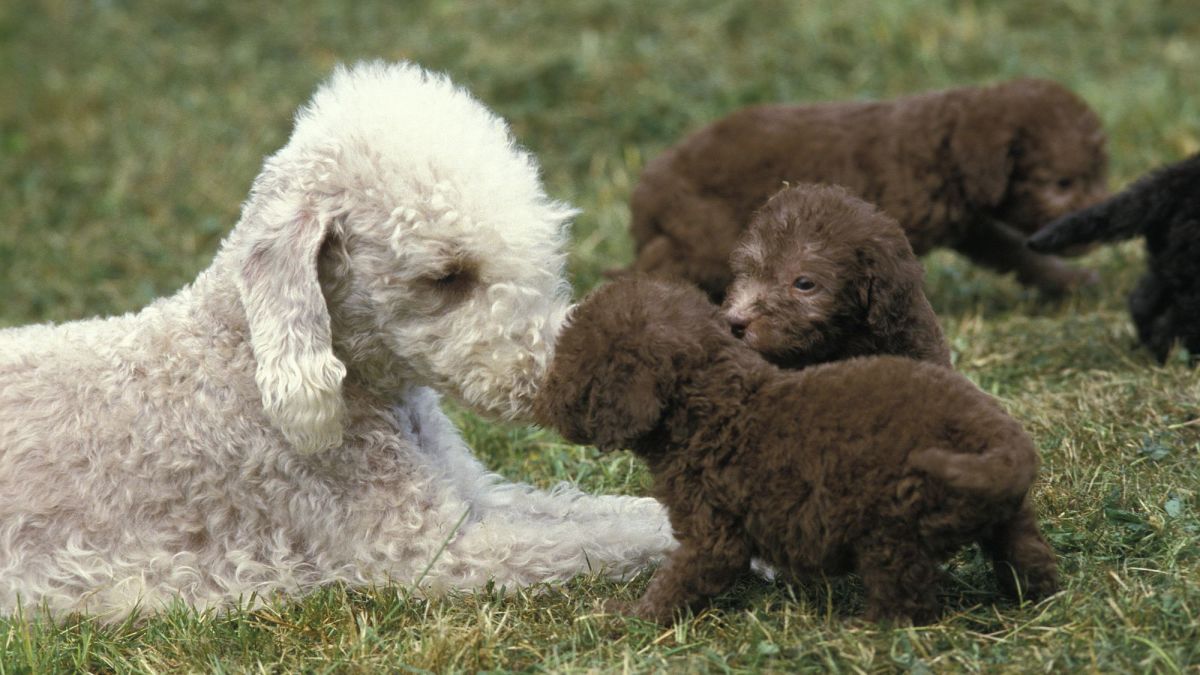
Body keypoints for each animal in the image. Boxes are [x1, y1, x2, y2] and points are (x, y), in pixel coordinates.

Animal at [0, 60, 676, 619]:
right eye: (448, 275)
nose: (574, 376)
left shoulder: (476, 494)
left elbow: (606, 513)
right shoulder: (429, 550)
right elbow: (595, 539)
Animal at [537, 276, 1060, 624]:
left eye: (572, 368)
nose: (543, 396)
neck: (714, 402)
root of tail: (996, 434)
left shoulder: (712, 530)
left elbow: (678, 579)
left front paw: (627, 615)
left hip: (891, 528)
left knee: (907, 599)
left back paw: (864, 628)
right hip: (1008, 515)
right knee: (1027, 554)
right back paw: (1037, 597)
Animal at [628, 77, 1104, 297]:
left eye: (1099, 175)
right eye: (1062, 183)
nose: (1096, 226)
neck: (940, 149)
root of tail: (646, 191)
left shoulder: (971, 225)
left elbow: (1015, 252)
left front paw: (1070, 282)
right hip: (703, 235)